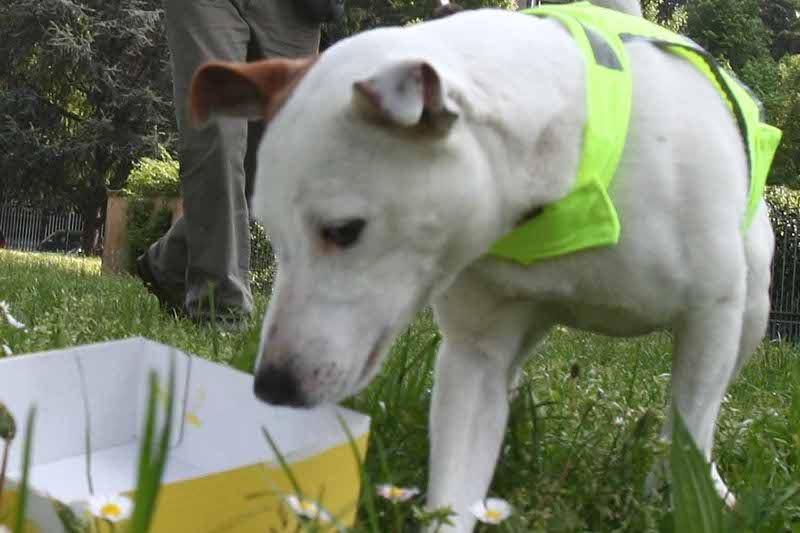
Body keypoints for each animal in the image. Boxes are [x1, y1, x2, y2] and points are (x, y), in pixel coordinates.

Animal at [189, 3, 776, 528]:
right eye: (272, 231)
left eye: (343, 230)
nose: (272, 386)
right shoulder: (476, 353)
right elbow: (455, 481)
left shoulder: (710, 318)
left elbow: (689, 430)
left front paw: (684, 499)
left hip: (752, 309)